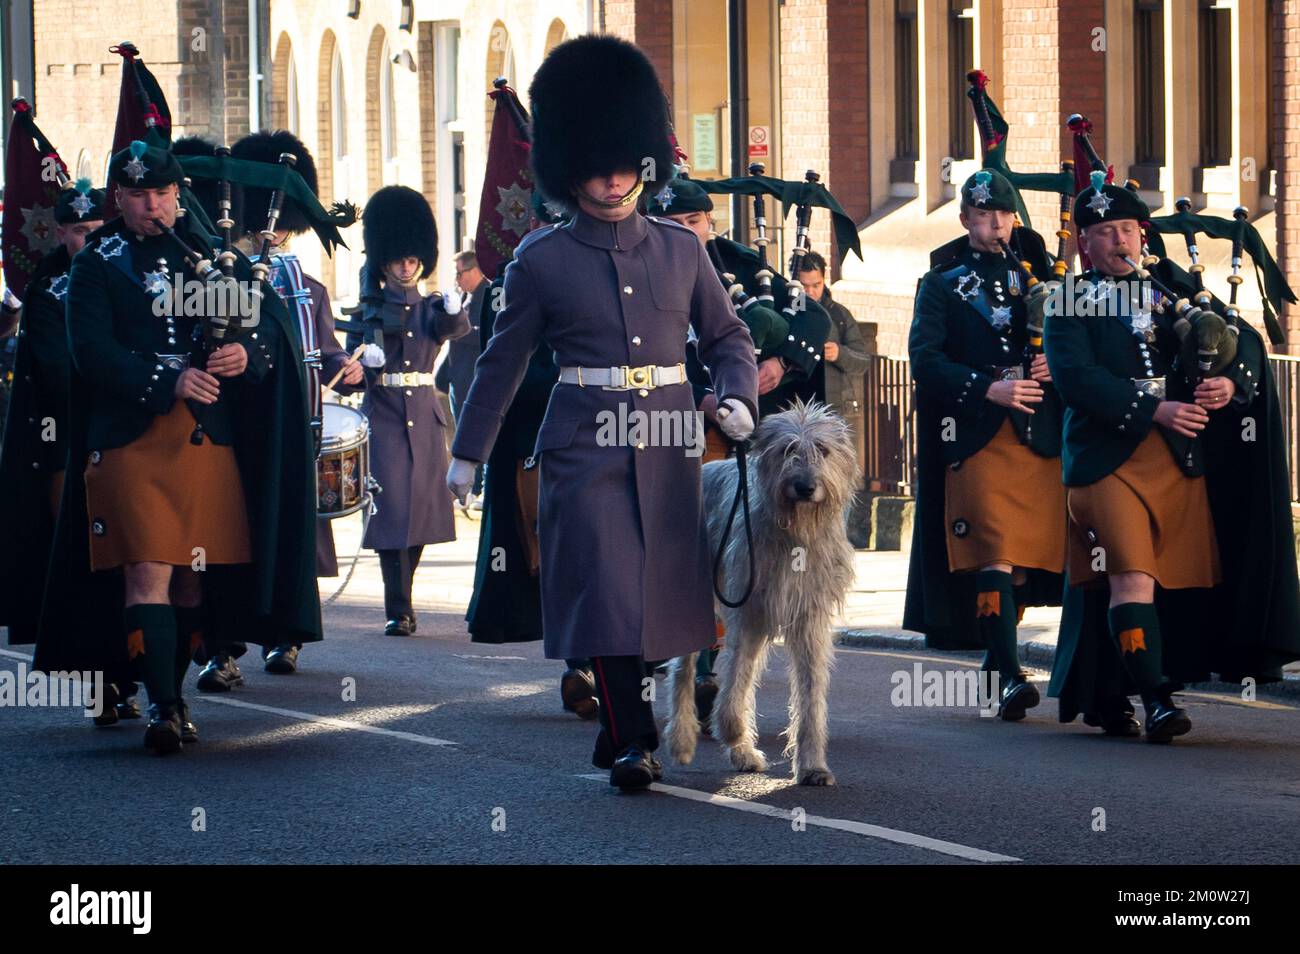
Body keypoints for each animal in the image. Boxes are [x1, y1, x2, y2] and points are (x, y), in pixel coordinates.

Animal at [665, 400, 857, 790]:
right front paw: (732, 732)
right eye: (787, 450)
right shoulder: (748, 609)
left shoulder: (809, 615)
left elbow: (810, 690)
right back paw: (683, 739)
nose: (804, 487)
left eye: (823, 450)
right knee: (683, 668)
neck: (796, 533)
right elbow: (735, 682)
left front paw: (812, 764)